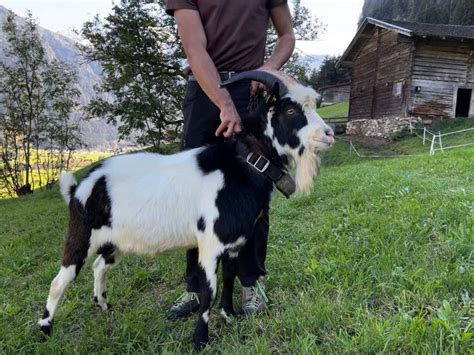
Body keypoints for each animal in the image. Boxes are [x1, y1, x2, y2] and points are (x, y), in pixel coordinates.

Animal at [39, 70, 336, 350]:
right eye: (290, 110)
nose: (329, 134)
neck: (243, 165)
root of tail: (80, 187)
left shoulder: (234, 243)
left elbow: (230, 277)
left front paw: (229, 315)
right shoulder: (210, 245)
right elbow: (209, 291)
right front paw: (200, 340)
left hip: (115, 241)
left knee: (100, 265)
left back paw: (103, 305)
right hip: (81, 236)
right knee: (59, 280)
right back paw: (45, 329)